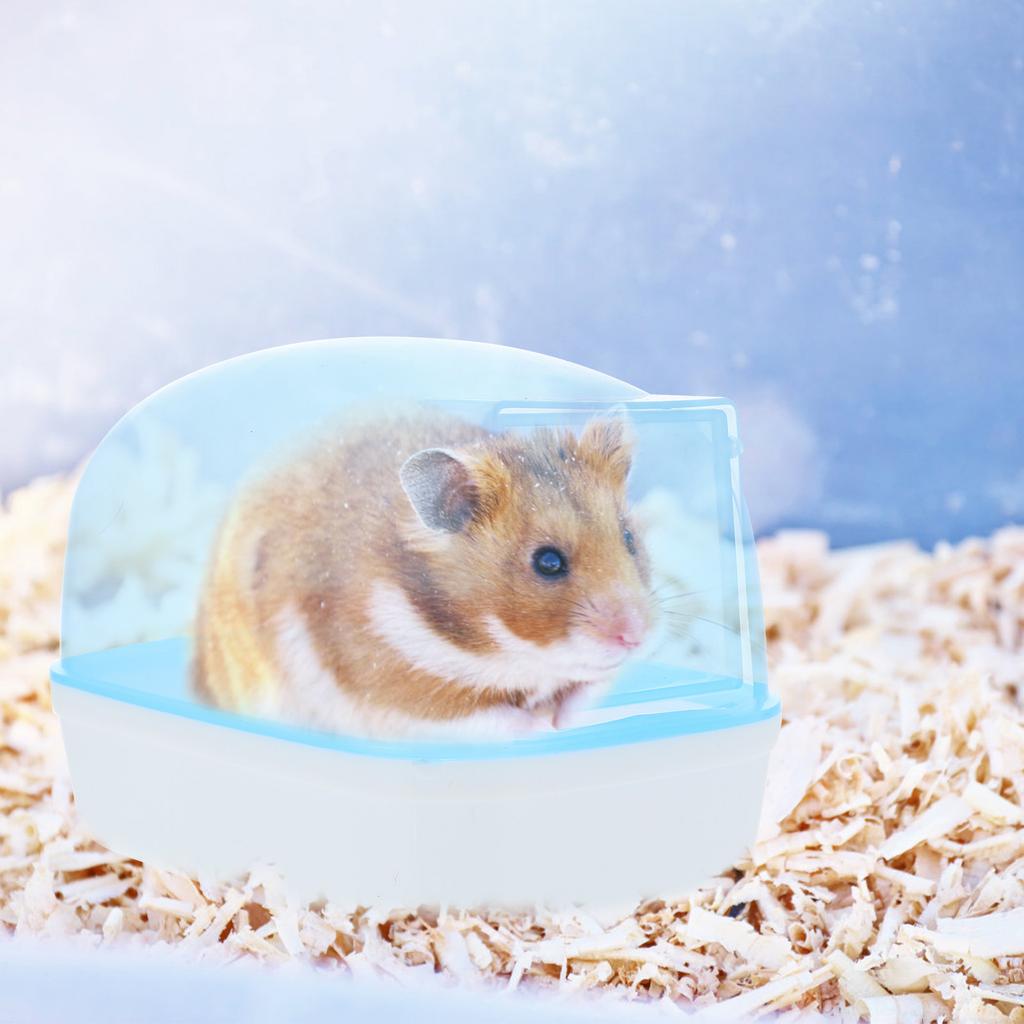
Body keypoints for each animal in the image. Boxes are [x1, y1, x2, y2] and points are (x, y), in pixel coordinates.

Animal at [192, 407, 656, 739]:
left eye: (629, 537)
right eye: (547, 562)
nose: (636, 637)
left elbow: (584, 692)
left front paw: (565, 721)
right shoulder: (400, 695)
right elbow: (496, 719)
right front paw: (542, 727)